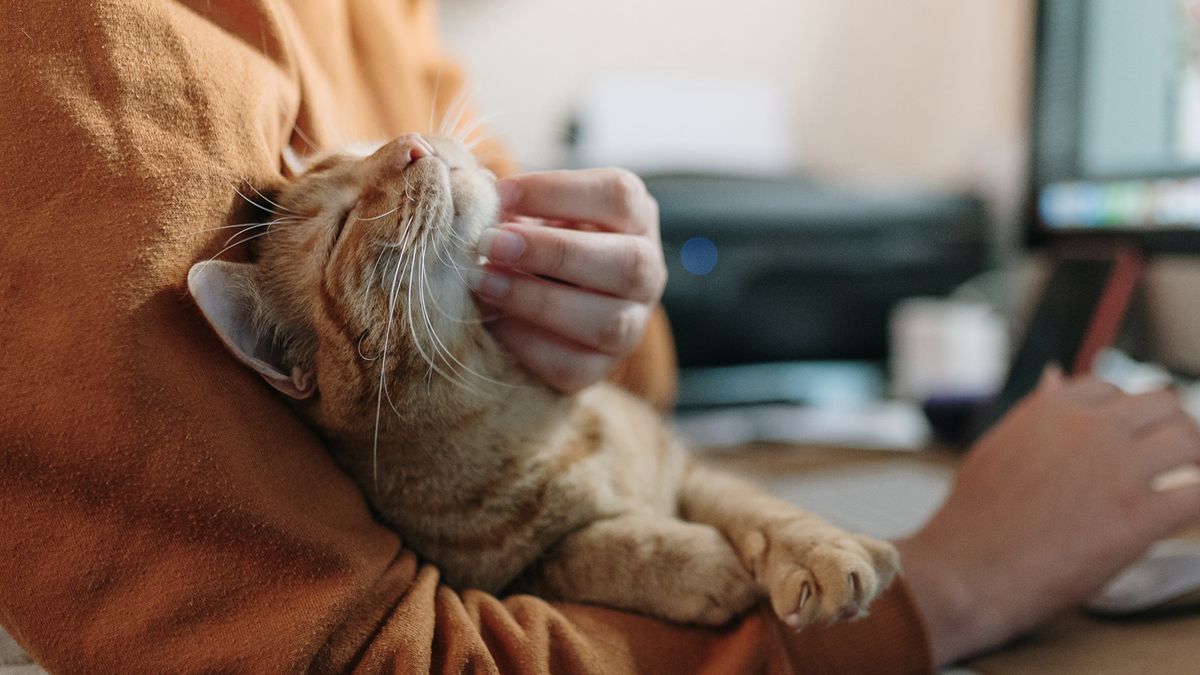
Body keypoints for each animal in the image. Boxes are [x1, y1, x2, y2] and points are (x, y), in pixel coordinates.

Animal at [189, 133, 902, 629]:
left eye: (368, 147)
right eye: (339, 229)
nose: (411, 143)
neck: (523, 415)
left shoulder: (686, 466)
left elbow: (759, 507)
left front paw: (823, 552)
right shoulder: (505, 578)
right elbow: (603, 547)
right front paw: (706, 564)